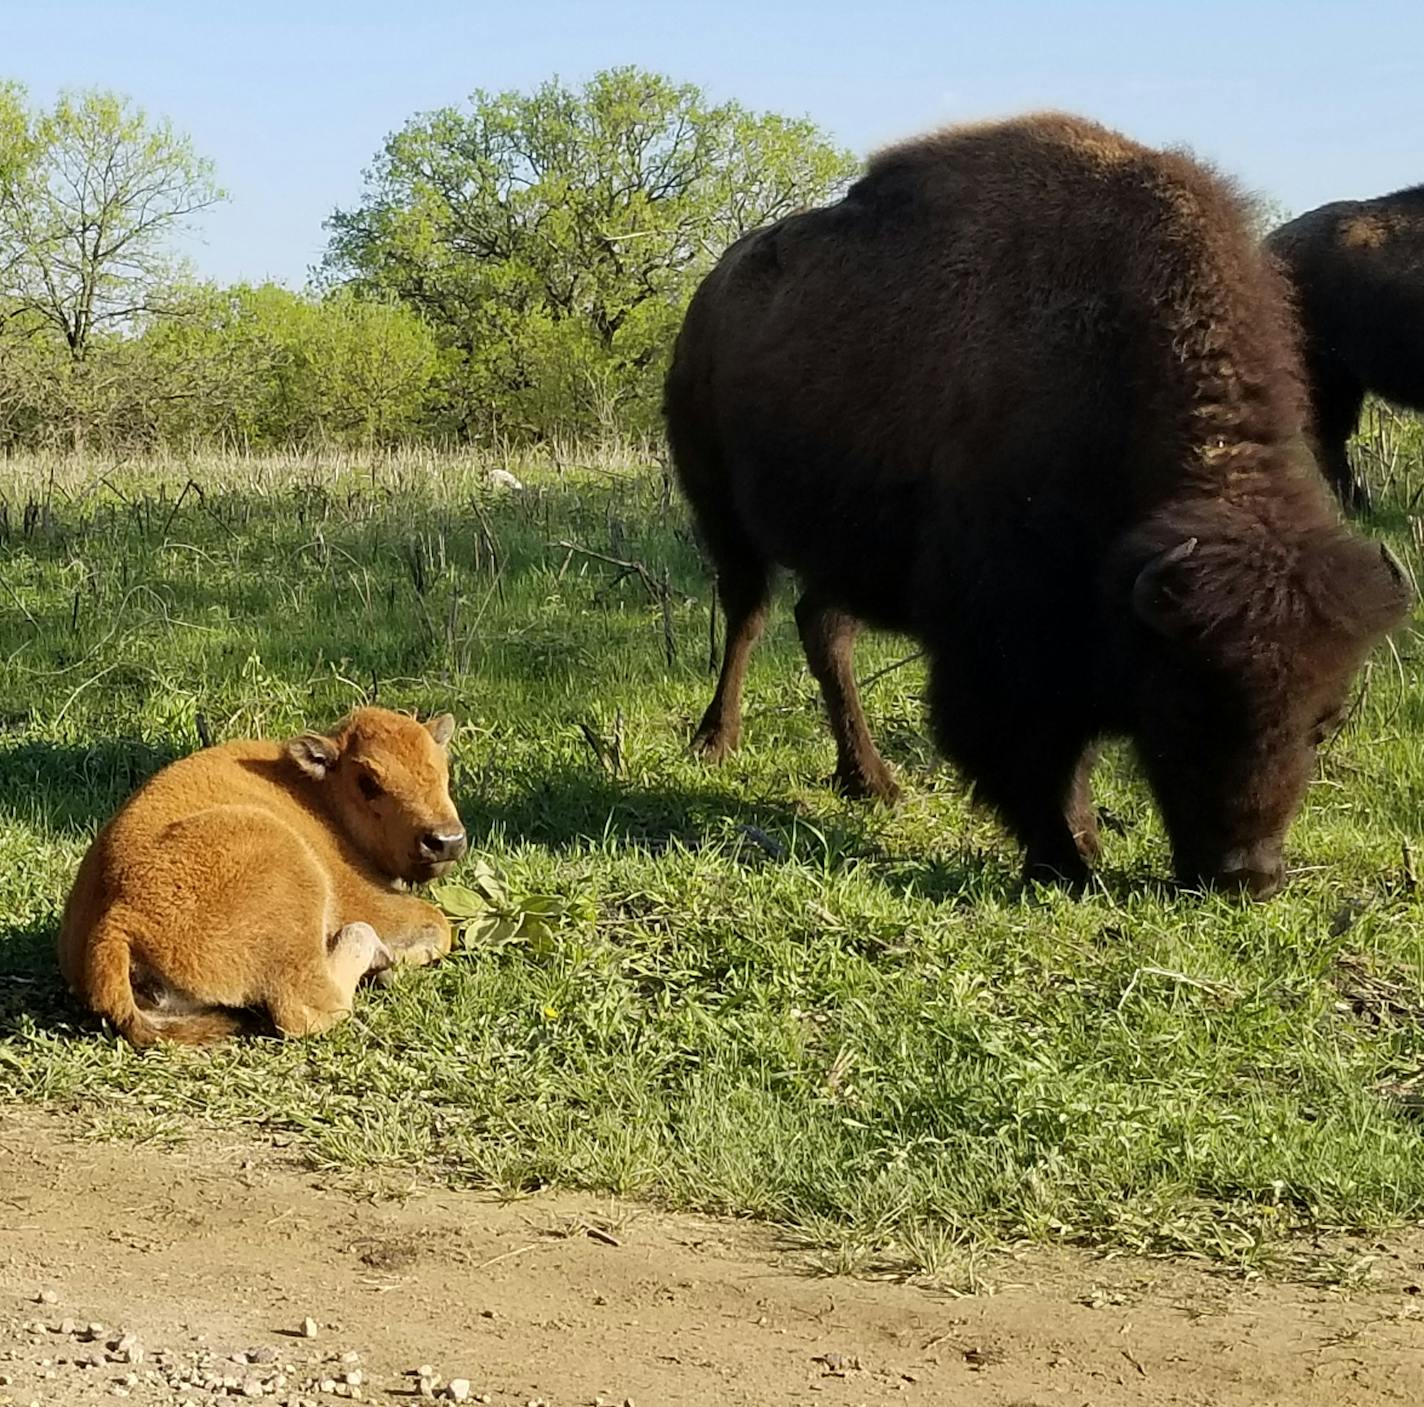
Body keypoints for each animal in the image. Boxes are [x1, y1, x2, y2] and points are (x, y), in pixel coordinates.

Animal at [58, 703, 467, 1042]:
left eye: (441, 769)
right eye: (368, 782)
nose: (445, 840)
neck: (320, 794)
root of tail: (116, 920)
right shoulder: (368, 897)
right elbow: (438, 926)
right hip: (296, 878)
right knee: (308, 1004)